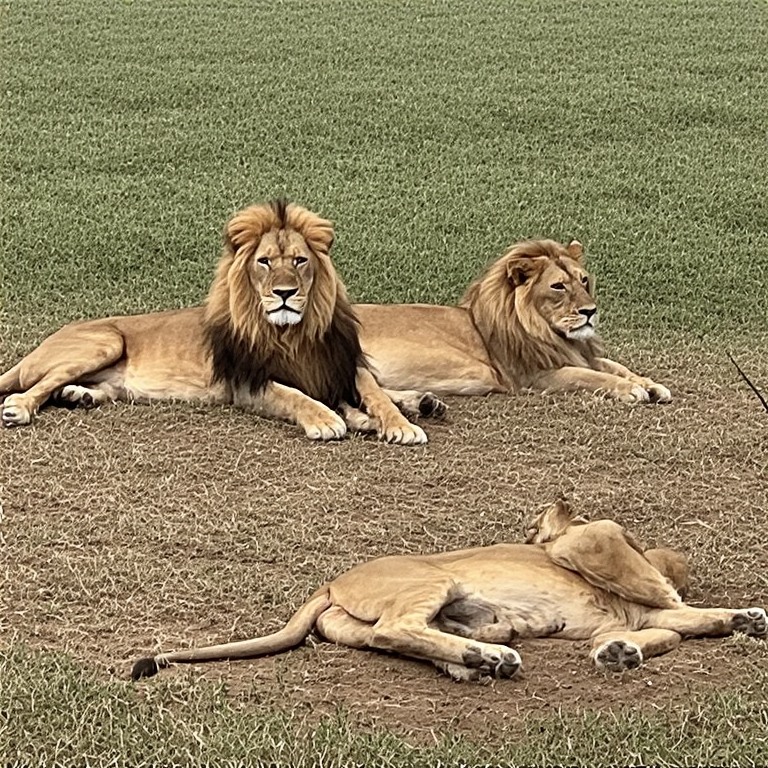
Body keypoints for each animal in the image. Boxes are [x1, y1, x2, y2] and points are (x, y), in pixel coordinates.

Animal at [0, 200, 427, 444]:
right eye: (264, 262)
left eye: (300, 261)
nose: (284, 293)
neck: (293, 334)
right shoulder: (248, 382)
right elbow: (295, 395)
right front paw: (327, 419)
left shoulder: (338, 361)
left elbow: (373, 391)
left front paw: (396, 424)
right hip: (105, 342)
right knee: (34, 386)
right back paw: (21, 407)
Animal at [131, 500, 765, 683]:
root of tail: (331, 581)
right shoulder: (593, 539)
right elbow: (671, 599)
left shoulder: (630, 610)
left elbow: (677, 623)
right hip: (434, 578)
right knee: (398, 629)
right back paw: (490, 656)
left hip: (378, 619)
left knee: (399, 639)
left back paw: (481, 657)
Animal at [355, 239, 672, 405]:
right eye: (558, 286)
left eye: (583, 280)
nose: (590, 311)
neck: (550, 333)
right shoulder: (533, 375)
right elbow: (589, 375)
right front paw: (630, 389)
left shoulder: (574, 353)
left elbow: (613, 365)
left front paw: (651, 384)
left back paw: (422, 402)